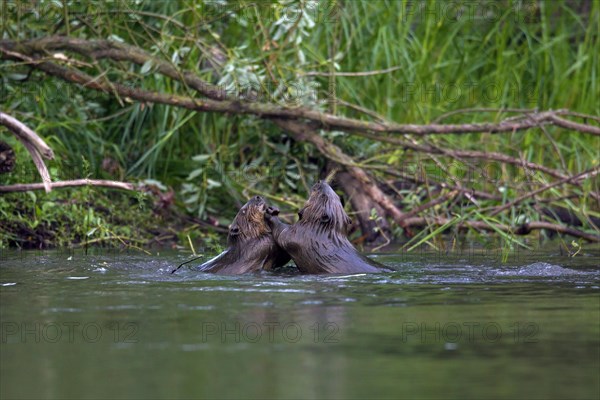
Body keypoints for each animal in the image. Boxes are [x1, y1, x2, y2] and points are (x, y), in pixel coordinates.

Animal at [264, 182, 392, 274]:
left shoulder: (298, 235)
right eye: (338, 196)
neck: (321, 231)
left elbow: (283, 234)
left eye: (323, 196)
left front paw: (272, 212)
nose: (320, 182)